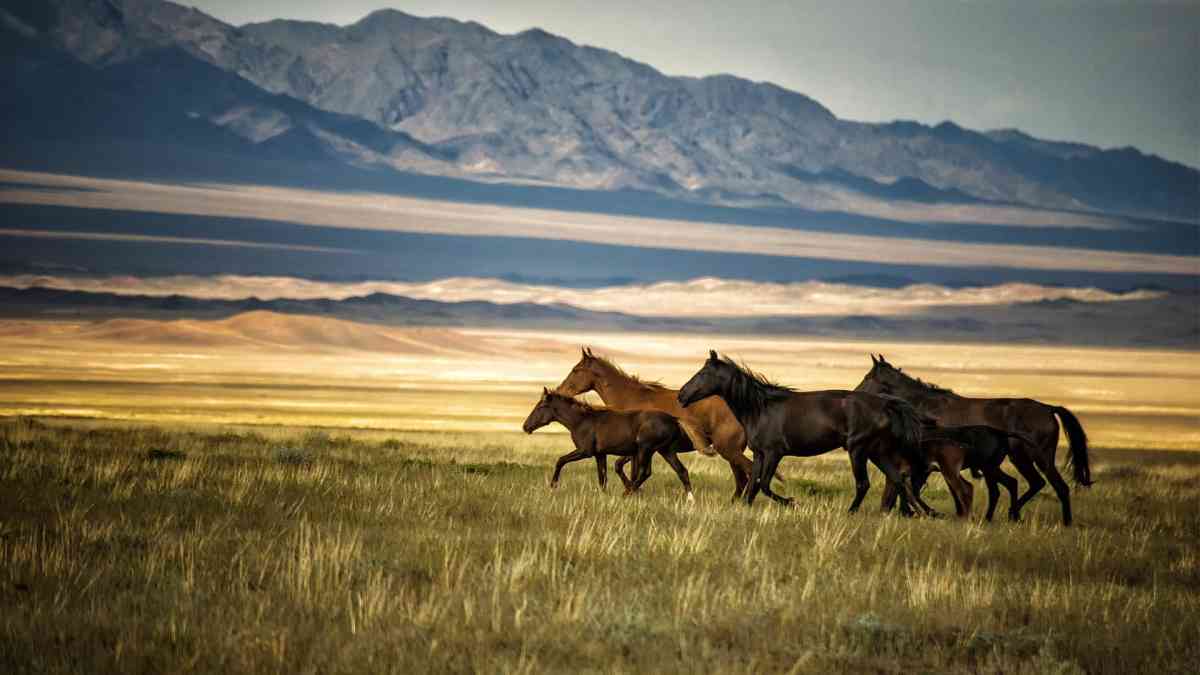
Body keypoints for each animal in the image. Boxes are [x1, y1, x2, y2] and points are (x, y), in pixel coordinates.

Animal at [520, 384, 700, 499]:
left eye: (540, 407)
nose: (526, 426)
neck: (581, 421)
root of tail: (674, 420)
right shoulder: (600, 454)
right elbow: (602, 477)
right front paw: (603, 495)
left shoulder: (585, 452)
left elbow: (560, 460)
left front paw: (553, 486)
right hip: (665, 450)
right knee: (681, 471)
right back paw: (690, 500)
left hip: (646, 448)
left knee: (645, 472)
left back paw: (626, 494)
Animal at [554, 345, 758, 499]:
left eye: (576, 370)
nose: (559, 391)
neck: (630, 398)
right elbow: (622, 467)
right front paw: (632, 490)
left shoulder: (638, 449)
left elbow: (626, 468)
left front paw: (632, 491)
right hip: (730, 452)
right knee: (741, 478)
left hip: (729, 450)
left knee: (746, 475)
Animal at [681, 348, 931, 511]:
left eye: (702, 373)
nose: (681, 395)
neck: (760, 408)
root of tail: (885, 404)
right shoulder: (760, 453)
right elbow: (754, 484)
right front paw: (744, 507)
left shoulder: (774, 453)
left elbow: (764, 485)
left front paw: (792, 502)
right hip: (877, 452)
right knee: (898, 480)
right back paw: (924, 512)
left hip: (858, 450)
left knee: (864, 484)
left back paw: (851, 513)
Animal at [854, 353, 1099, 526]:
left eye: (867, 377)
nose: (855, 393)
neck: (925, 407)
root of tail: (1049, 408)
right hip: (1016, 459)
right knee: (1032, 484)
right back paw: (1011, 515)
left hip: (1033, 458)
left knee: (1056, 486)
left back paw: (1057, 521)